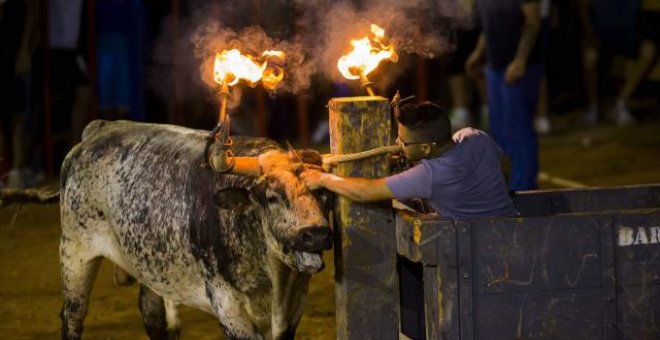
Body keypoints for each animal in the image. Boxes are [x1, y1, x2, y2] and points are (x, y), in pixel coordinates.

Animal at [59, 121, 332, 338]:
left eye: (323, 193)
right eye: (272, 197)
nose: (316, 234)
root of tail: (98, 128)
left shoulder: (294, 307)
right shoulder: (228, 307)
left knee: (153, 316)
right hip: (75, 254)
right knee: (72, 315)